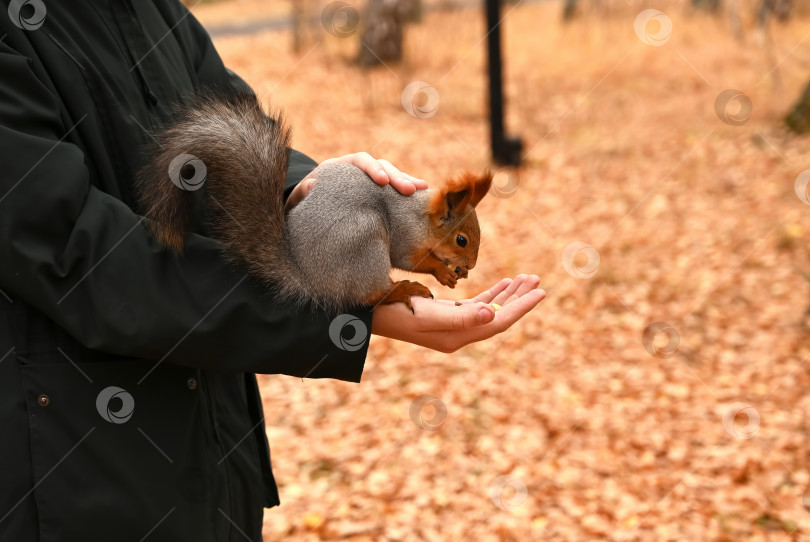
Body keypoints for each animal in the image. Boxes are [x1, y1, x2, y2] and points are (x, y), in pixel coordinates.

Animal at [135, 91, 490, 314]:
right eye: (461, 239)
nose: (471, 266)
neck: (419, 215)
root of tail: (309, 279)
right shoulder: (404, 235)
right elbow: (411, 259)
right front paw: (441, 271)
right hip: (363, 240)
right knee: (371, 295)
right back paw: (402, 289)